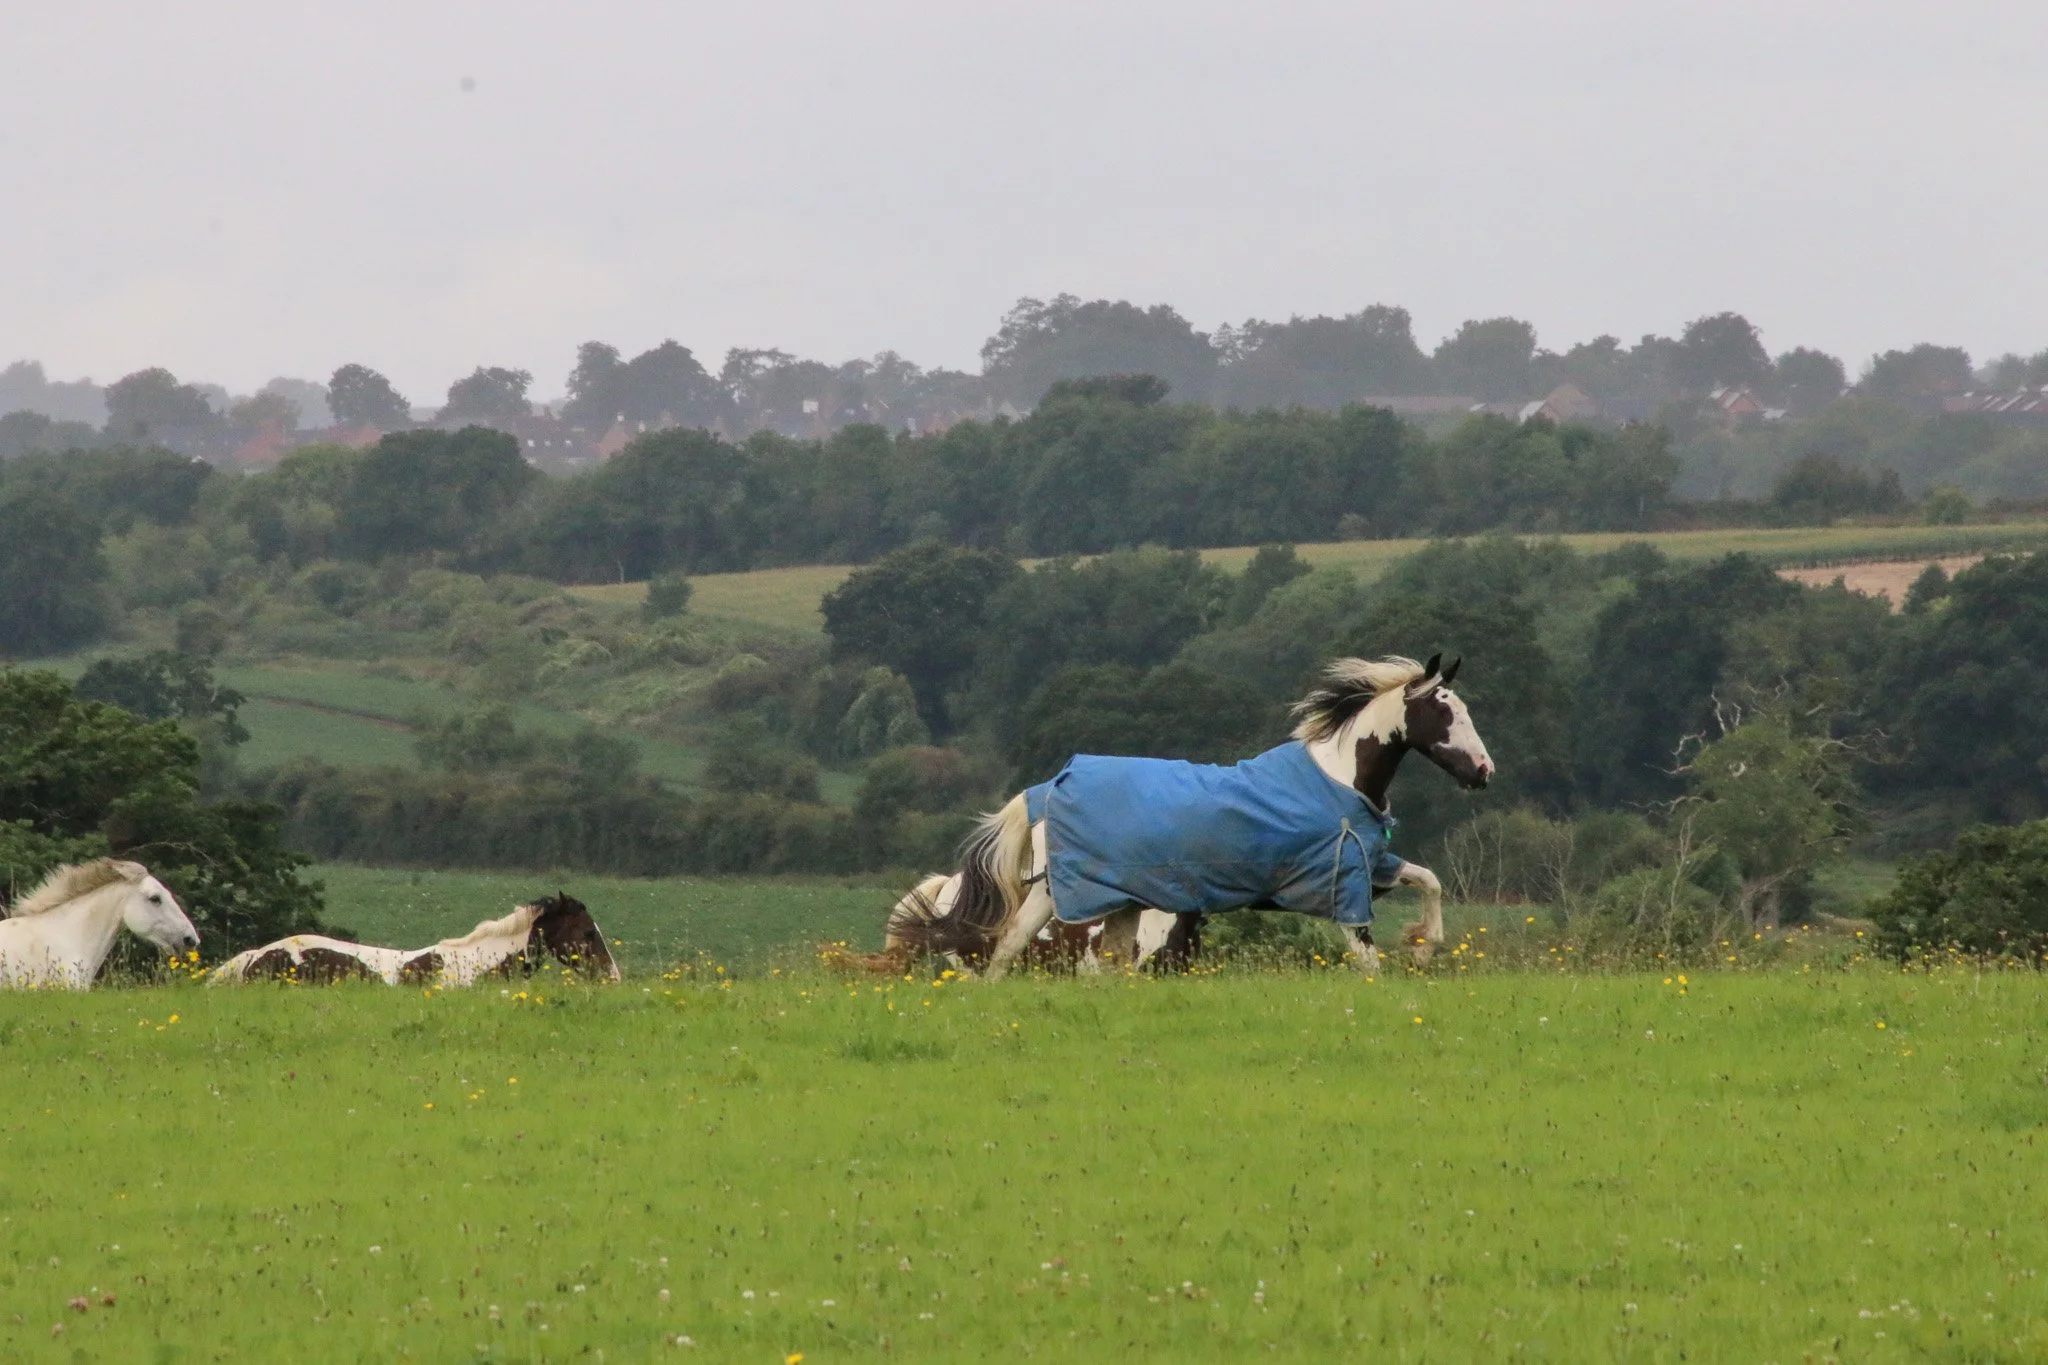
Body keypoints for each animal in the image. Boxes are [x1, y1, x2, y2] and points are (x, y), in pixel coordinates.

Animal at [883, 654, 1492, 978]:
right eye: (1443, 712)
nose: (1483, 770)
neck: (1338, 777)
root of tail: (1045, 790)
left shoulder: (1376, 866)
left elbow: (1430, 880)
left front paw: (1425, 942)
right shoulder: (1340, 884)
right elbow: (1367, 958)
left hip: (1074, 898)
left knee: (1013, 945)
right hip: (1078, 898)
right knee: (1051, 951)